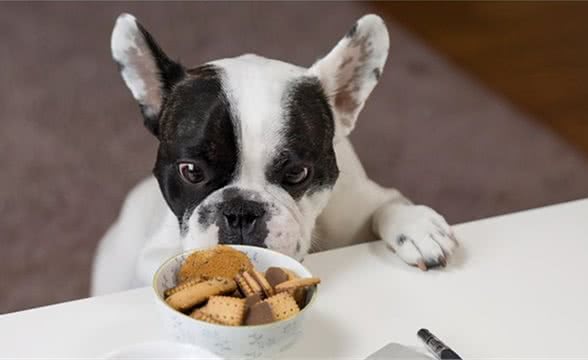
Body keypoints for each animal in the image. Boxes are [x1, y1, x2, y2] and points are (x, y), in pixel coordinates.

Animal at [92, 13, 460, 296]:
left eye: (297, 173)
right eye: (191, 171)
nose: (240, 211)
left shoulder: (360, 201)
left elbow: (388, 204)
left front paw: (416, 226)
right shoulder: (154, 252)